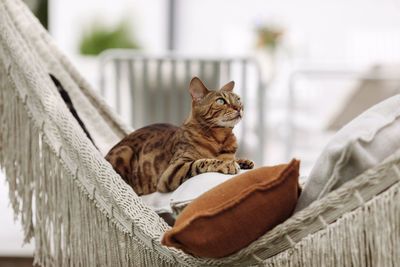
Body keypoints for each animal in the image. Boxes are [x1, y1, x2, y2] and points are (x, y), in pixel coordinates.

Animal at [104, 76, 255, 196]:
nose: (239, 108)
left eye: (239, 100)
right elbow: (202, 162)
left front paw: (242, 161)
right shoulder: (172, 171)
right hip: (125, 151)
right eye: (221, 101)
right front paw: (227, 164)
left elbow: (229, 158)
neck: (220, 139)